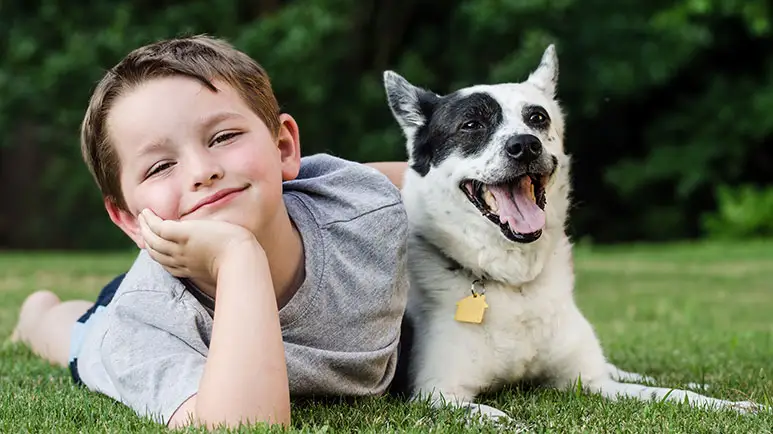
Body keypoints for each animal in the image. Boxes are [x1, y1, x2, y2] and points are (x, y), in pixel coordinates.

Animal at [380, 45, 760, 424]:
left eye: (537, 118)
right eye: (471, 125)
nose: (525, 146)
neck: (515, 284)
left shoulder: (590, 381)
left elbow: (671, 395)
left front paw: (731, 405)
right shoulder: (438, 394)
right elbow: (504, 421)